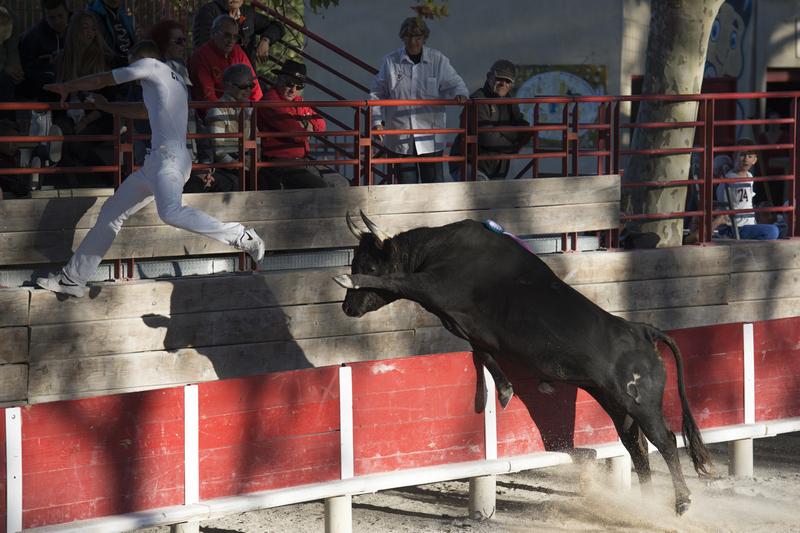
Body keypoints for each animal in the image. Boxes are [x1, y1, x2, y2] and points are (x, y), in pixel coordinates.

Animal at [332, 212, 712, 516]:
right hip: (617, 406)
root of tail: (643, 331)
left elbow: (399, 280)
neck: (439, 250)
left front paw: (345, 280)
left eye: (368, 265)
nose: (347, 308)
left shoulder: (433, 287)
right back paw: (647, 503)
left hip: (641, 402)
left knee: (665, 440)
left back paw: (682, 502)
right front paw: (503, 391)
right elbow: (483, 355)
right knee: (638, 447)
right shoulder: (471, 330)